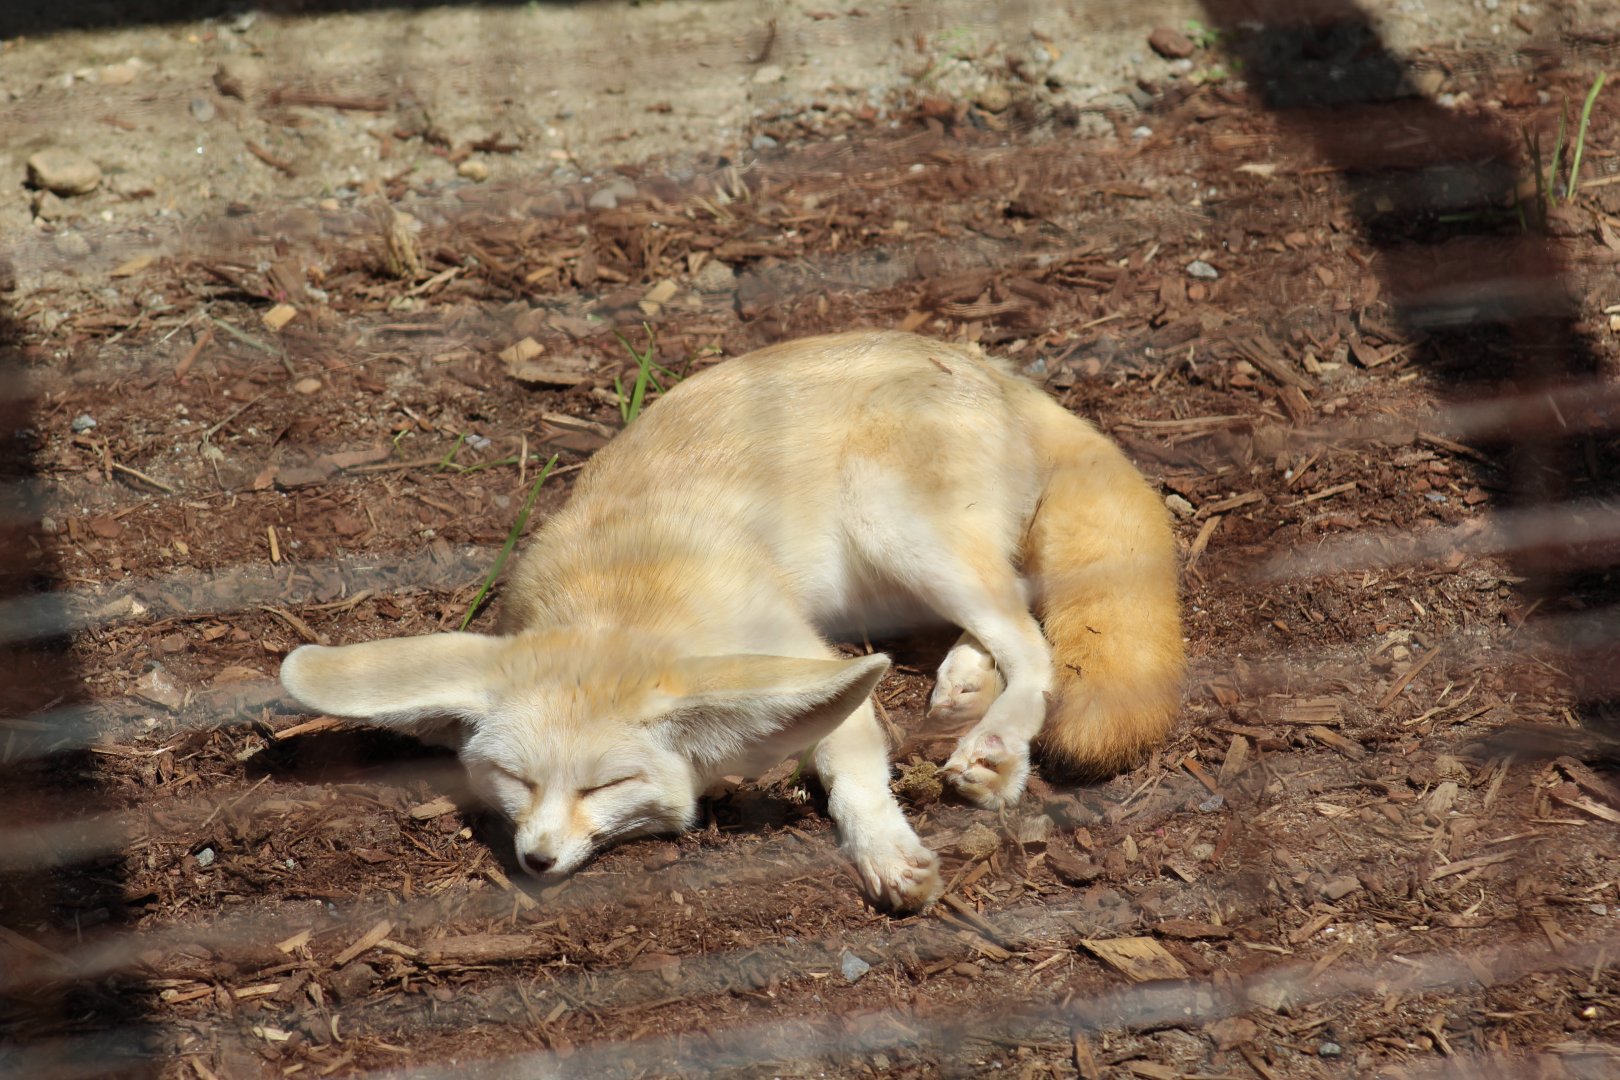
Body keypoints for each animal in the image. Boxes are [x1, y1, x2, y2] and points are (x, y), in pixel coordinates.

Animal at [279, 330, 1184, 913]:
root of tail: (990, 365)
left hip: (893, 526)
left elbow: (854, 770)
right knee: (1022, 595)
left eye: (606, 785)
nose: (535, 859)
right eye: (516, 780)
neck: (620, 598)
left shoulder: (802, 657)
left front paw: (887, 854)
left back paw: (996, 745)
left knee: (1033, 638)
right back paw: (967, 677)